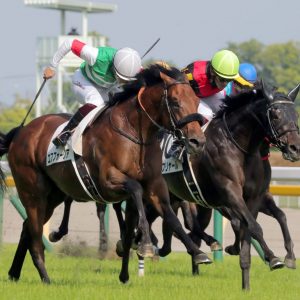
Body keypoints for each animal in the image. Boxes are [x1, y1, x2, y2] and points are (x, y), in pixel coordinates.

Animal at [0, 63, 206, 284]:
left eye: (196, 102)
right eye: (175, 102)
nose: (198, 141)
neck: (134, 133)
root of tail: (21, 132)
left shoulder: (154, 187)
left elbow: (169, 217)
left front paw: (197, 252)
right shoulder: (108, 182)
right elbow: (135, 189)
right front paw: (145, 244)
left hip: (53, 195)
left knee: (27, 228)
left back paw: (14, 272)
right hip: (32, 192)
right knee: (35, 233)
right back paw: (45, 277)